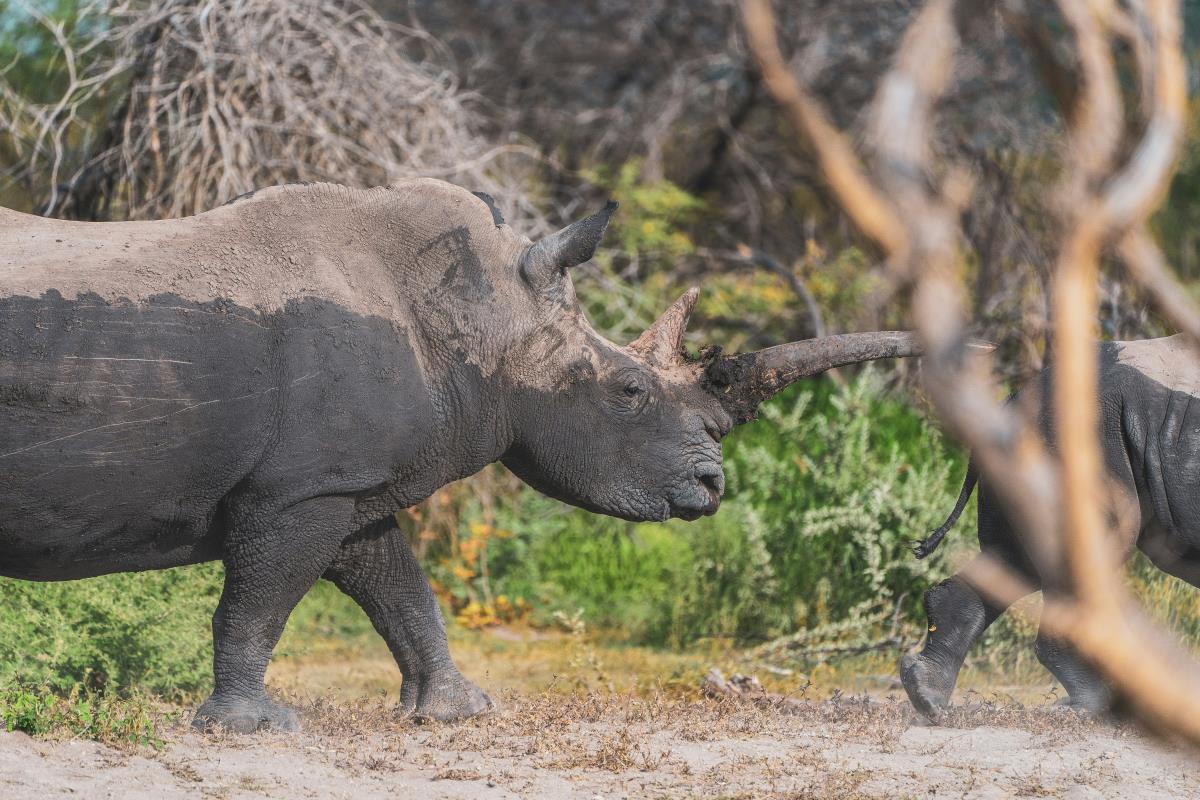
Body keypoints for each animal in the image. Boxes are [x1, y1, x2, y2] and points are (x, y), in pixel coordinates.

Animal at [0, 179, 920, 732]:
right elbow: (259, 603)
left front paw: (455, 712)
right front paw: (248, 728)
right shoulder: (297, 490)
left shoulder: (344, 487)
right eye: (629, 391)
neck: (483, 318)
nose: (710, 484)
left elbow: (401, 591)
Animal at [902, 335, 1200, 718]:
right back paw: (1093, 707)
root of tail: (1014, 398)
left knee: (1013, 559)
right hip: (1074, 435)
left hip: (1033, 442)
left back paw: (927, 698)